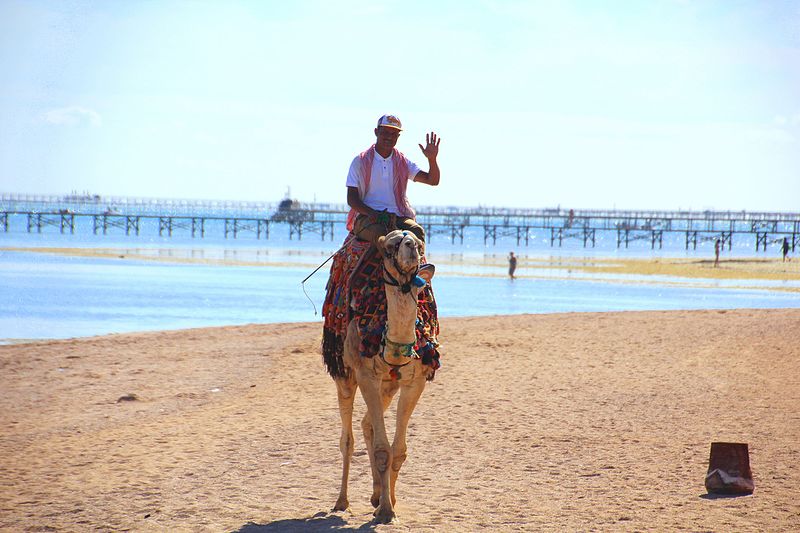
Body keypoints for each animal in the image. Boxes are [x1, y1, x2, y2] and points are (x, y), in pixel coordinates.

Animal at [328, 230, 434, 524]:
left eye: (419, 244)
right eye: (389, 247)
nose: (410, 247)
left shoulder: (414, 383)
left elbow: (398, 450)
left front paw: (389, 504)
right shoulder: (367, 377)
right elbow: (382, 449)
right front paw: (386, 511)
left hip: (388, 386)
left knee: (367, 425)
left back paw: (376, 495)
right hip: (346, 376)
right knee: (348, 438)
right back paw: (342, 502)